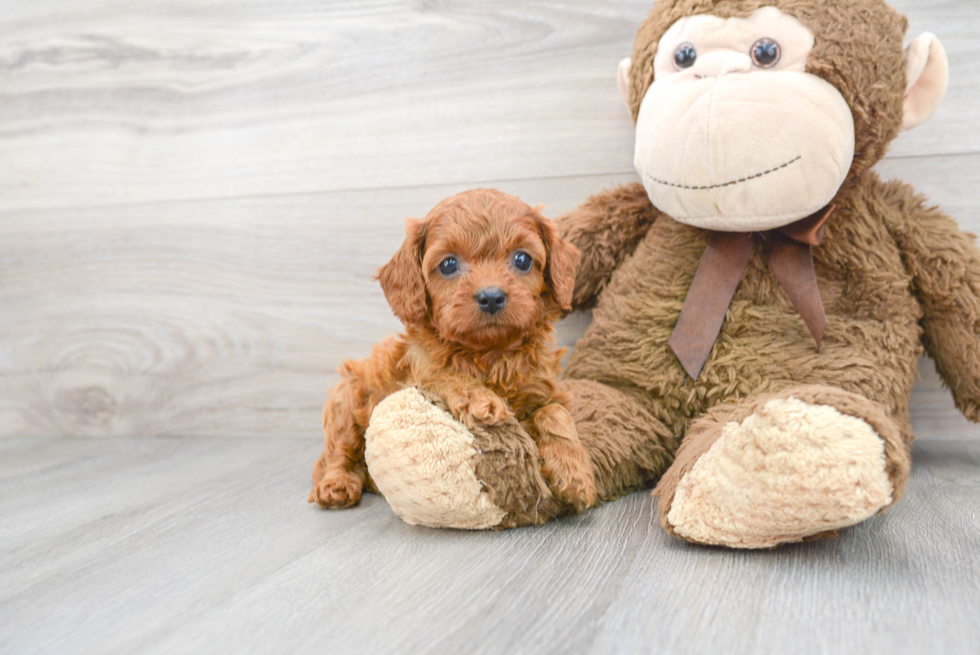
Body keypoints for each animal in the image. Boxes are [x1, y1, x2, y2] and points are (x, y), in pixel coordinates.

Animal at [310, 188, 596, 512]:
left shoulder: (544, 390)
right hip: (346, 398)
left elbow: (555, 413)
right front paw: (479, 399)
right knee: (339, 454)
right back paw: (337, 484)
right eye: (448, 264)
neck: (490, 353)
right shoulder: (416, 377)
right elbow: (446, 375)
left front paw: (575, 473)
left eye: (522, 259)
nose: (491, 297)